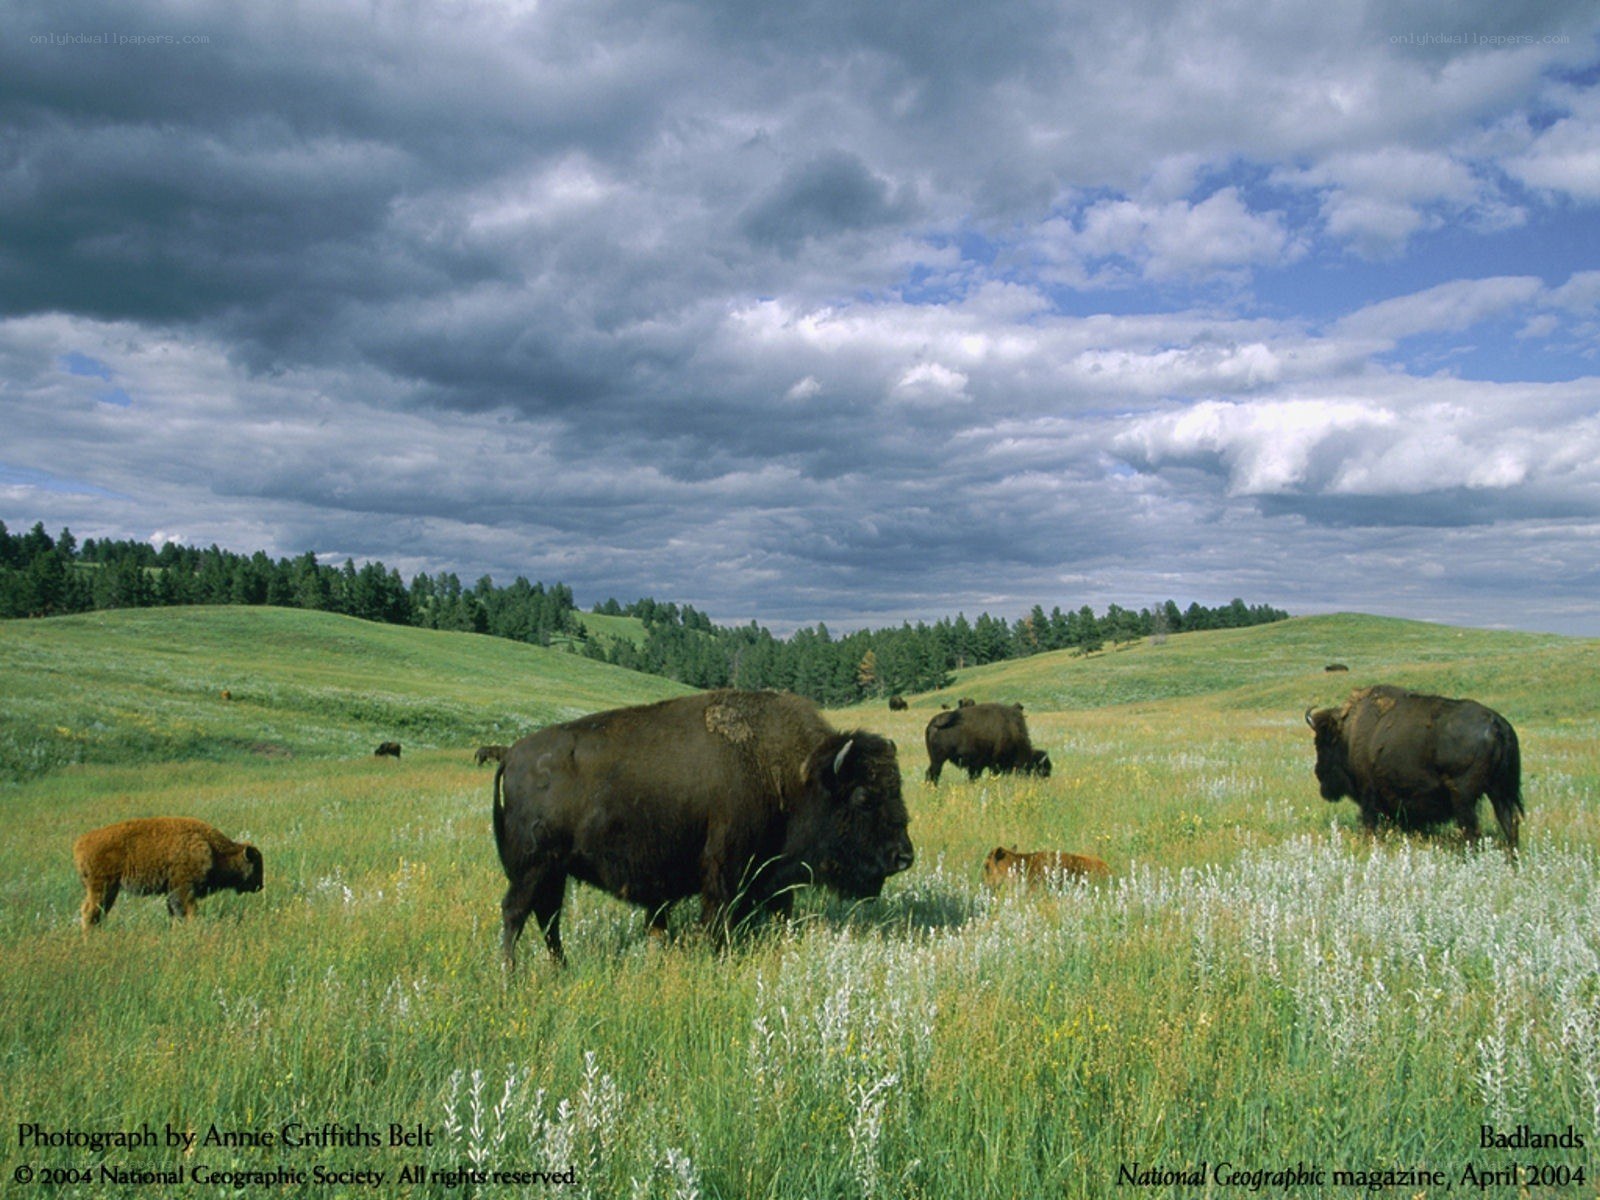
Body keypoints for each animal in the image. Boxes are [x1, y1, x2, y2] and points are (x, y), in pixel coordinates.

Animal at [73, 816, 264, 929]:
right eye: (256, 866)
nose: (260, 886)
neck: (212, 848)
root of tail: (80, 843)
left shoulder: (171, 891)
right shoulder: (183, 888)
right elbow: (187, 910)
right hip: (103, 888)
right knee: (90, 912)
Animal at [493, 689, 914, 965]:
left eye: (897, 788)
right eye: (862, 796)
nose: (904, 856)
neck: (790, 774)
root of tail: (511, 754)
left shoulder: (771, 879)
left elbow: (776, 912)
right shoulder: (724, 872)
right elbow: (718, 919)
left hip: (553, 872)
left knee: (547, 918)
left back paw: (560, 968)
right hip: (533, 869)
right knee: (516, 913)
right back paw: (511, 975)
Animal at [1305, 685, 1523, 850]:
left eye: (1321, 743)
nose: (1317, 773)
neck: (1348, 734)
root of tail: (1497, 725)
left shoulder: (1369, 793)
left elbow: (1369, 820)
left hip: (1464, 796)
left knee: (1471, 829)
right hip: (1499, 792)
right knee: (1509, 823)